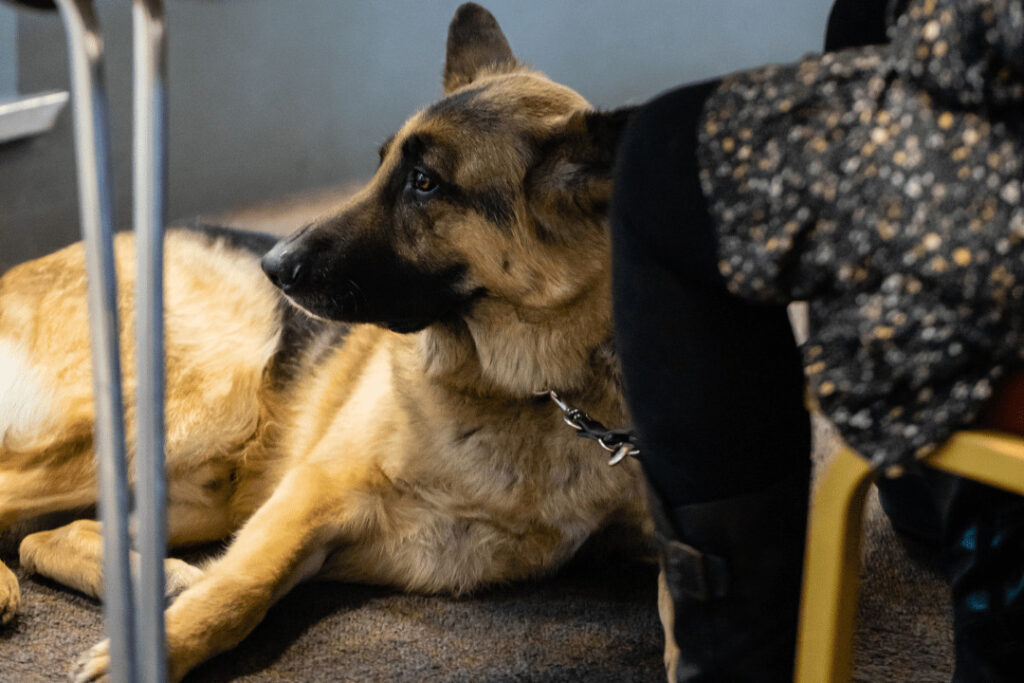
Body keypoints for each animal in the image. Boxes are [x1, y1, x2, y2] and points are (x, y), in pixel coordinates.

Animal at [0, 3, 651, 679]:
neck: (531, 392)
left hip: (206, 488)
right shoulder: (314, 492)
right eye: (384, 165)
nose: (274, 266)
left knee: (42, 536)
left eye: (425, 182)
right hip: (199, 408)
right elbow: (242, 589)